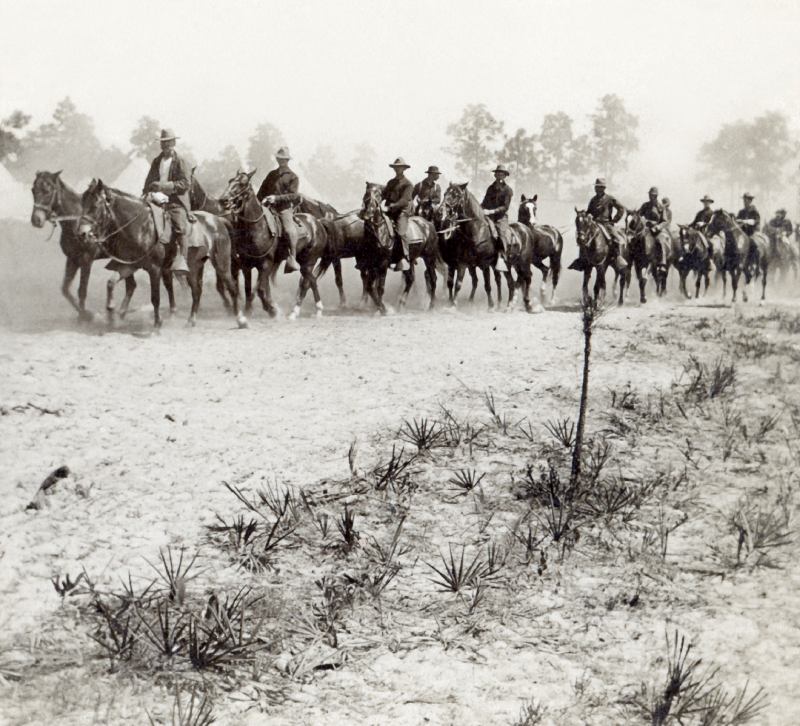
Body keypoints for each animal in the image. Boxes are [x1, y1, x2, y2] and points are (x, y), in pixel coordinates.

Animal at [30, 171, 109, 322]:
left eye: (47, 191)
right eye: (33, 190)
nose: (36, 220)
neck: (75, 222)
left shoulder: (86, 260)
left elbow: (82, 291)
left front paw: (87, 316)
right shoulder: (72, 259)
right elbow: (65, 289)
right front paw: (83, 315)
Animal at [77, 181, 244, 328]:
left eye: (95, 206)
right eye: (83, 204)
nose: (82, 234)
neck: (141, 226)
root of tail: (218, 220)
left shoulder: (155, 269)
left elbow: (155, 297)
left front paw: (158, 323)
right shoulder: (129, 266)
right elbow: (111, 283)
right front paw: (111, 313)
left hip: (221, 262)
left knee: (231, 287)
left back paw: (241, 320)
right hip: (193, 267)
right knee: (197, 291)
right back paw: (191, 320)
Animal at [219, 171, 332, 322]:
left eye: (242, 183)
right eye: (230, 181)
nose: (223, 200)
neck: (257, 227)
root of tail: (318, 223)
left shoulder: (266, 264)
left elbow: (261, 289)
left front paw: (272, 310)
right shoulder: (246, 265)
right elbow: (249, 289)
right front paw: (249, 310)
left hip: (309, 261)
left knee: (307, 283)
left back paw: (303, 311)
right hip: (303, 261)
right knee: (310, 281)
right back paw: (306, 311)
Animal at [360, 182, 440, 312]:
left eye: (378, 194)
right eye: (367, 192)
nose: (367, 213)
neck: (379, 231)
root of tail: (429, 224)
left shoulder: (383, 263)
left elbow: (380, 288)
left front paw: (382, 309)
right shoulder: (372, 264)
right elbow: (370, 287)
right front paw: (379, 307)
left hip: (429, 258)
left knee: (432, 279)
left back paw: (431, 306)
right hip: (411, 259)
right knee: (410, 279)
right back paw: (401, 304)